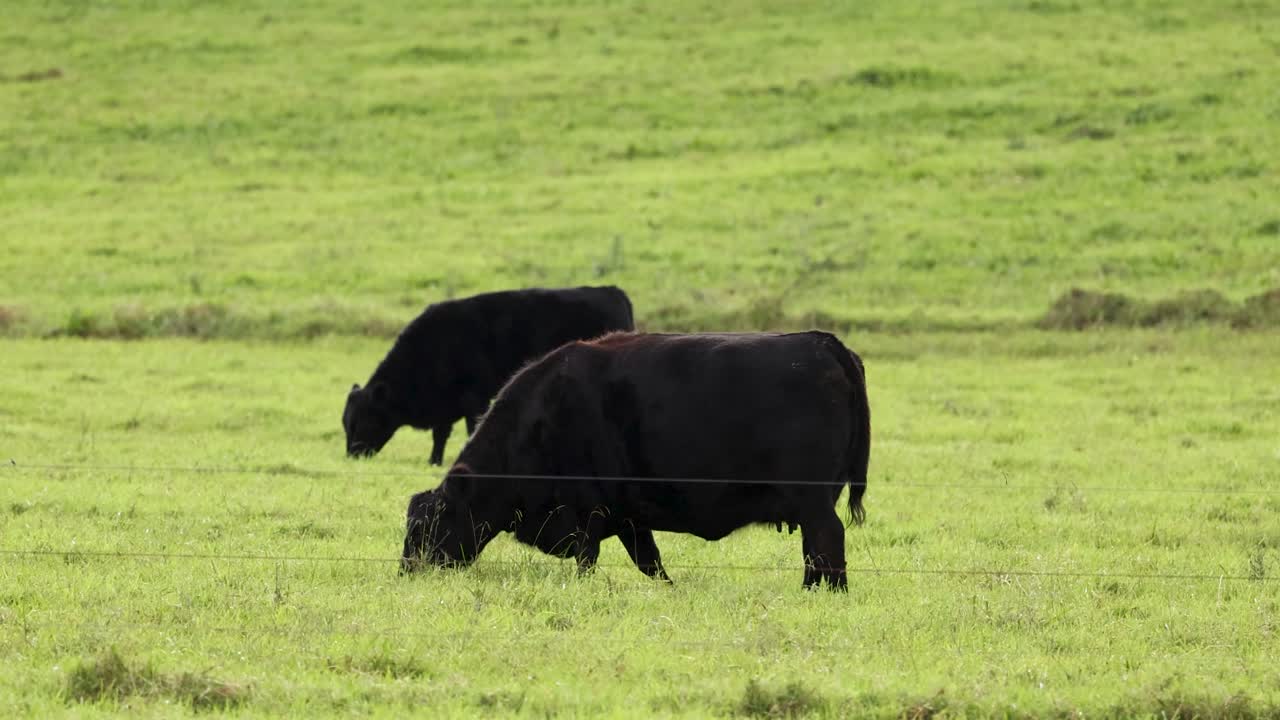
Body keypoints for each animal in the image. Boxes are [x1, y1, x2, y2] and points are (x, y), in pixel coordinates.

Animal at [343, 285, 635, 466]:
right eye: (346, 423)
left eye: (361, 420)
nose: (351, 455)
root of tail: (611, 290)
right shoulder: (444, 403)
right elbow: (440, 435)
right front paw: (434, 461)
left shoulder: (474, 398)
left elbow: (470, 428)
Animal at [400, 331, 870, 591]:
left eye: (427, 525)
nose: (407, 570)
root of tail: (823, 343)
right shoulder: (629, 517)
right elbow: (652, 565)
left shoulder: (586, 513)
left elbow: (588, 561)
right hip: (811, 504)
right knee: (815, 549)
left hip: (812, 500)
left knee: (827, 540)